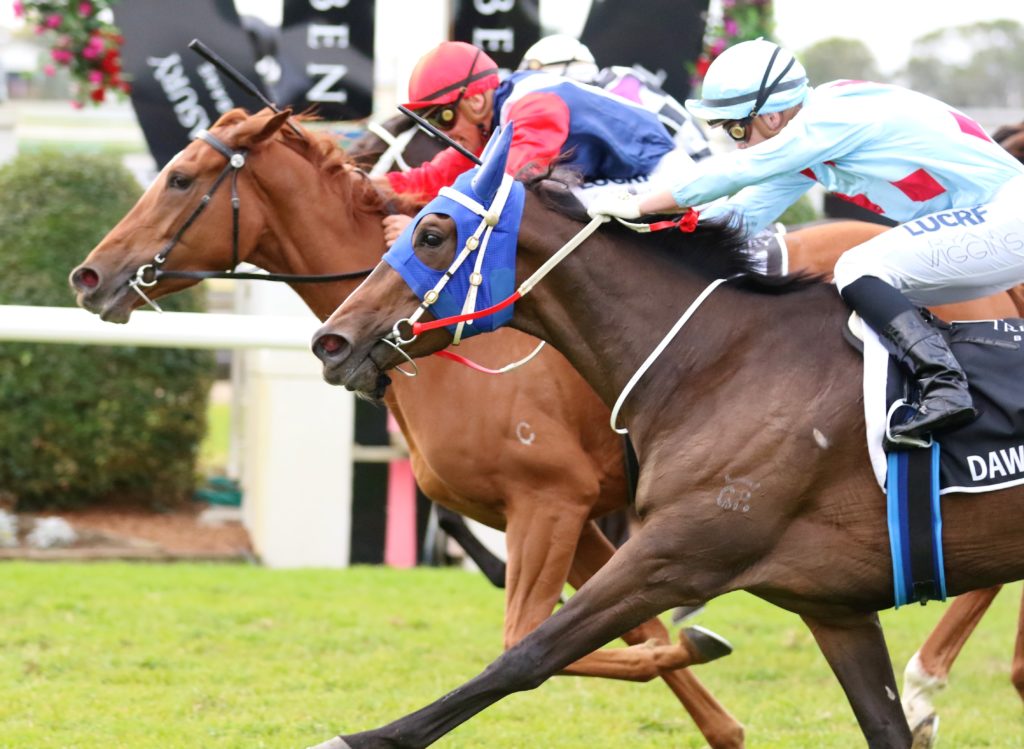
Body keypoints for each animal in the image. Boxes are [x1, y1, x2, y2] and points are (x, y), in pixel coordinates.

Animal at [68, 107, 750, 749]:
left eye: (180, 178)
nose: (89, 276)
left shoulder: (552, 500)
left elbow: (528, 639)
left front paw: (699, 639)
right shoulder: (570, 517)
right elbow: (635, 635)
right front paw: (716, 702)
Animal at [309, 124, 1024, 749]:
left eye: (432, 233)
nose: (331, 342)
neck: (719, 361)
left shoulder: (673, 551)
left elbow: (525, 655)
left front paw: (356, 738)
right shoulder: (834, 607)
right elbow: (884, 727)